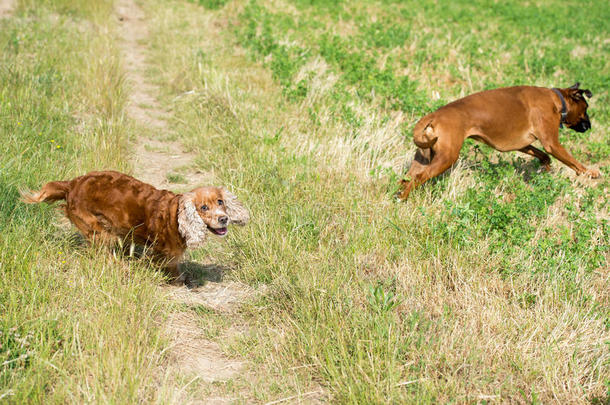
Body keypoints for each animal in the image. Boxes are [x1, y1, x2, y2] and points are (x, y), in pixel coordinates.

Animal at [394, 83, 600, 200]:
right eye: (586, 108)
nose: (589, 126)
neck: (556, 100)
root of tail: (434, 115)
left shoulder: (524, 144)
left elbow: (541, 154)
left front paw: (546, 166)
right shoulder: (552, 143)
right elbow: (573, 162)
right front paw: (591, 173)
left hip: (422, 159)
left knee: (407, 178)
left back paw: (398, 195)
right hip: (446, 158)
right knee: (419, 178)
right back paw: (403, 198)